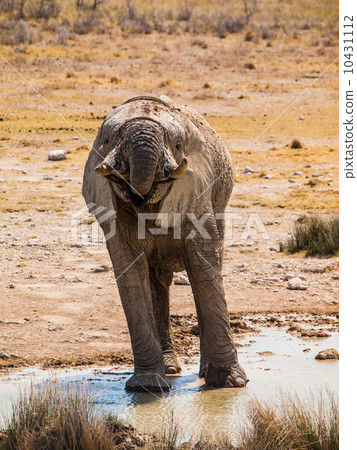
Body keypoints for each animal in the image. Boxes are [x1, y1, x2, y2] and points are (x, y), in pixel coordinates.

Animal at [82, 96, 248, 392]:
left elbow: (204, 270)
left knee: (200, 274)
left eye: (178, 145)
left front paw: (230, 383)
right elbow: (131, 277)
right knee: (156, 282)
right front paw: (146, 387)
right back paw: (169, 369)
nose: (140, 197)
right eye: (107, 140)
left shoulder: (198, 192)